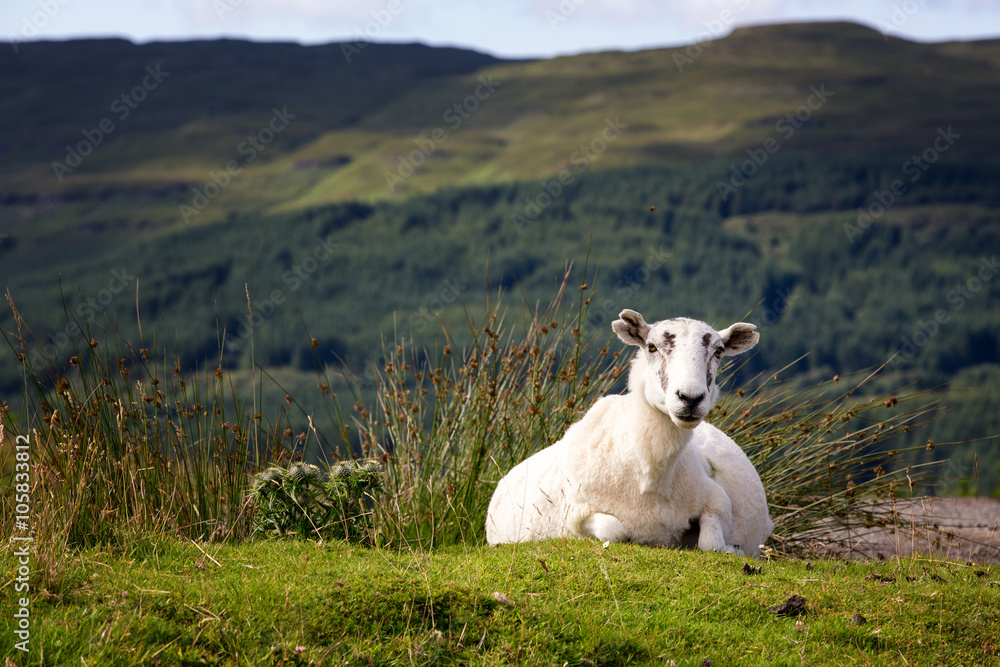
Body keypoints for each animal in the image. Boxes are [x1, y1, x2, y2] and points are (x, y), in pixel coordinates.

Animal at [486, 309, 774, 556]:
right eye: (652, 347)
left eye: (719, 352)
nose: (690, 398)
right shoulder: (577, 516)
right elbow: (615, 530)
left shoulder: (717, 500)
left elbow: (710, 543)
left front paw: (732, 549)